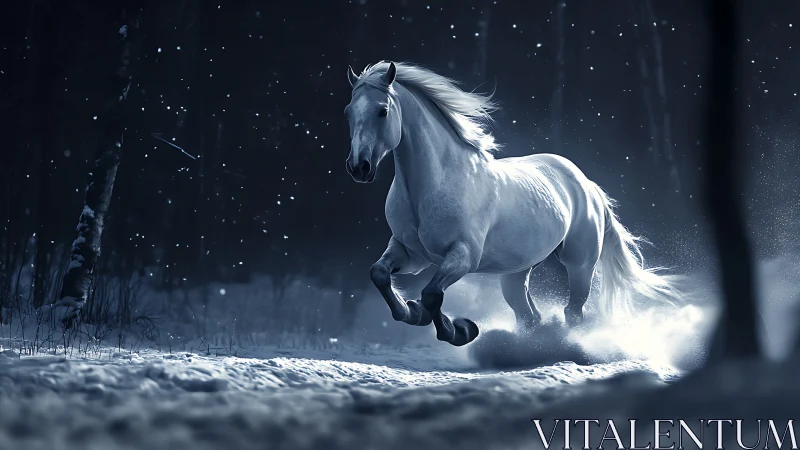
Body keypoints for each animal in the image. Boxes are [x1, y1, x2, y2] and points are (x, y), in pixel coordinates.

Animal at [343, 61, 682, 347]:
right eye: (348, 111)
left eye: (382, 111)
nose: (358, 167)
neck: (436, 183)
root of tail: (588, 185)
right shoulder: (411, 253)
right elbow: (380, 274)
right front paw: (411, 312)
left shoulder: (463, 255)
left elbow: (431, 294)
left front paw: (460, 330)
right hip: (516, 273)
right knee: (529, 317)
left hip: (580, 265)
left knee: (572, 313)